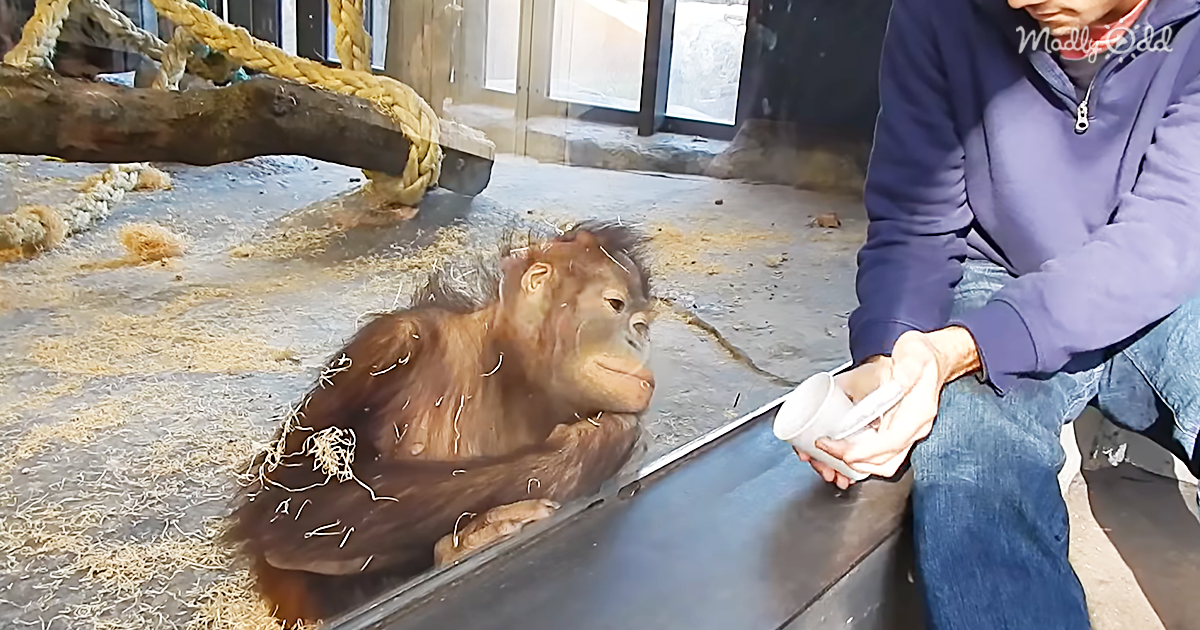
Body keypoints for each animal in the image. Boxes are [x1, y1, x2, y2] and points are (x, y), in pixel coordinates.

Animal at [222, 220, 657, 626]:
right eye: (615, 305)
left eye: (641, 324)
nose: (638, 340)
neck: (506, 366)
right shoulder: (386, 344)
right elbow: (292, 499)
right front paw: (597, 440)